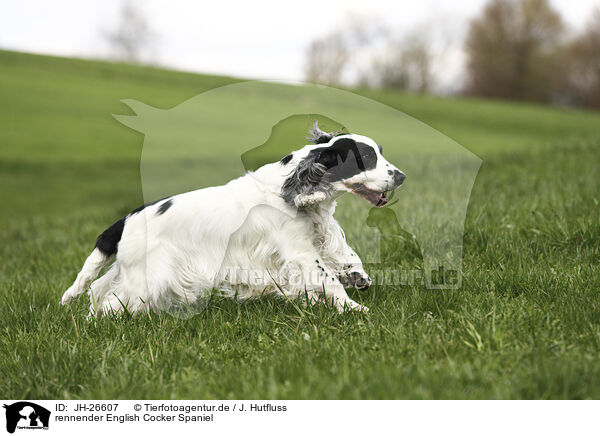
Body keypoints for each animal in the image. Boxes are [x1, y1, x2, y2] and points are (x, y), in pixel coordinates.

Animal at [62, 123, 404, 316]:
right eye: (366, 158)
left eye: (380, 152)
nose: (401, 176)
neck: (289, 189)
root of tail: (123, 221)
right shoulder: (299, 252)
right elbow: (327, 279)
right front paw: (354, 309)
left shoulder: (316, 235)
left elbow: (344, 253)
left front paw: (357, 277)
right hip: (145, 278)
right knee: (110, 303)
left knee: (101, 291)